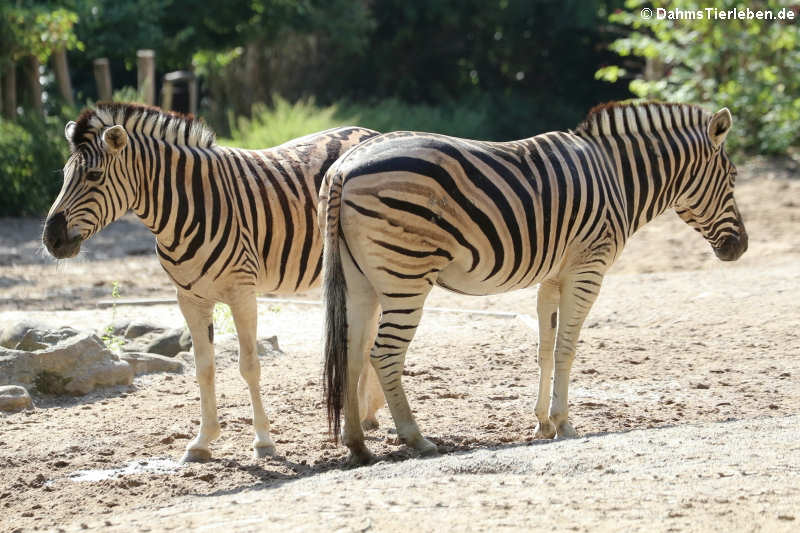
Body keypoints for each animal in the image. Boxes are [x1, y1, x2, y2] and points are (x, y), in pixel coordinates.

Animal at [42, 103, 382, 462]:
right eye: (64, 177)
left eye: (94, 176)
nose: (50, 239)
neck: (183, 209)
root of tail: (370, 132)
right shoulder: (190, 299)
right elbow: (203, 367)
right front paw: (203, 440)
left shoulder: (242, 292)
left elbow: (249, 366)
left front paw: (263, 441)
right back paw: (366, 413)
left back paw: (364, 414)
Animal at [320, 102, 752, 464]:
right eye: (733, 178)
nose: (741, 248)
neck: (617, 176)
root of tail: (344, 166)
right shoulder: (587, 269)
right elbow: (566, 349)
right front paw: (564, 423)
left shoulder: (553, 277)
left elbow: (545, 348)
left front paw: (542, 423)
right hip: (406, 275)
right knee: (384, 354)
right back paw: (417, 438)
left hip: (360, 282)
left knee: (351, 354)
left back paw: (357, 444)